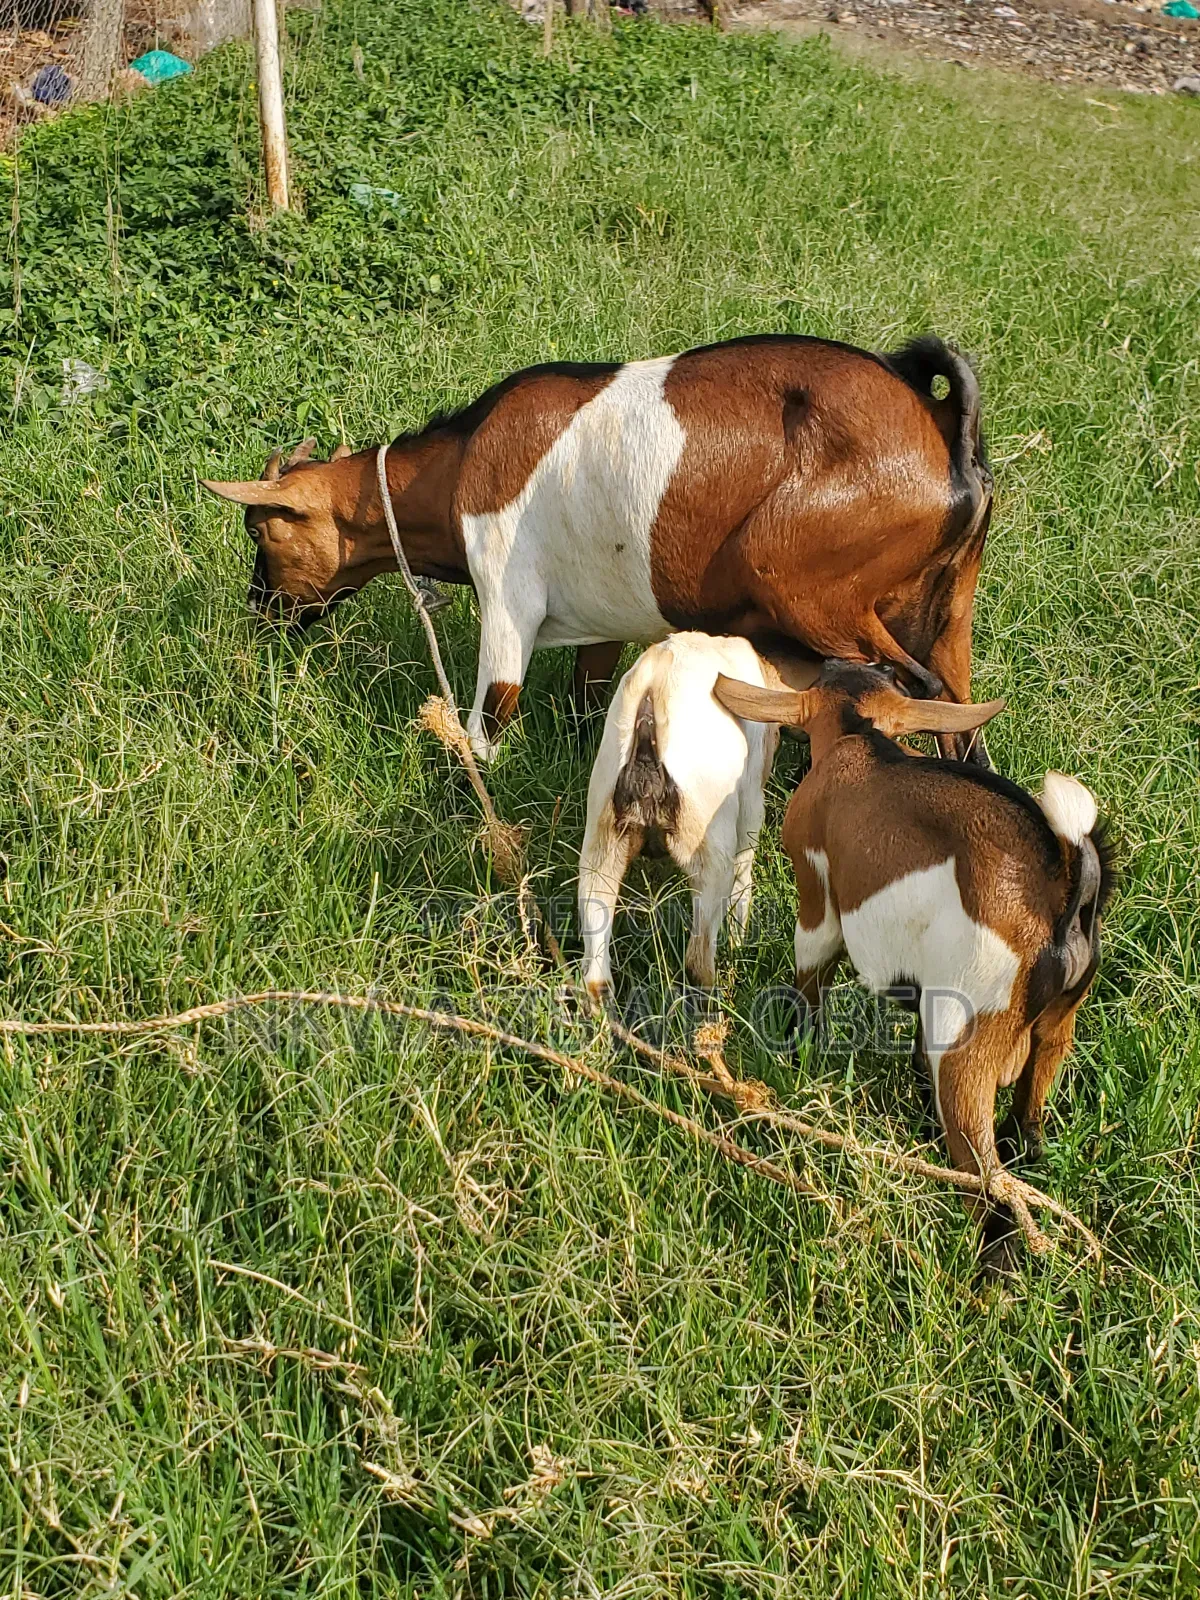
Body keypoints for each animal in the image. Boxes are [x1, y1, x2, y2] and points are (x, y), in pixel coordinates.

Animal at [202, 334, 992, 763]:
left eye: (263, 530)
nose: (262, 610)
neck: (461, 462)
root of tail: (941, 423)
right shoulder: (601, 623)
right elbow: (588, 703)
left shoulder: (508, 595)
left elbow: (491, 715)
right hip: (944, 613)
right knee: (962, 718)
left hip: (814, 595)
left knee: (907, 689)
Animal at [578, 634, 819, 1000]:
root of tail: (653, 690)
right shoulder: (750, 807)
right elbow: (743, 883)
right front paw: (739, 943)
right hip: (710, 853)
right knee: (698, 959)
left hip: (601, 848)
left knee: (595, 975)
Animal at [714, 662, 1113, 1260]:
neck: (860, 737)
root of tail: (1064, 894)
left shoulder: (818, 897)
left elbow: (810, 980)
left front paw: (796, 1050)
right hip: (1055, 1029)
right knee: (1029, 1132)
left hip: (969, 1037)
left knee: (989, 1186)